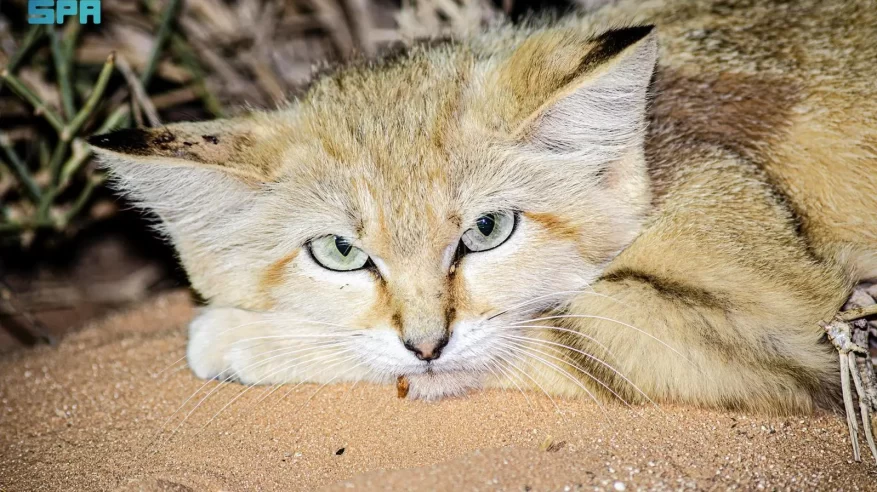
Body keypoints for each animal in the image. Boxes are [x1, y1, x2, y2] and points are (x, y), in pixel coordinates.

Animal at [90, 0, 876, 414]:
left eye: (489, 230)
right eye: (339, 252)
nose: (426, 344)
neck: (651, 145)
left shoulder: (779, 322)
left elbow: (541, 332)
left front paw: (240, 336)